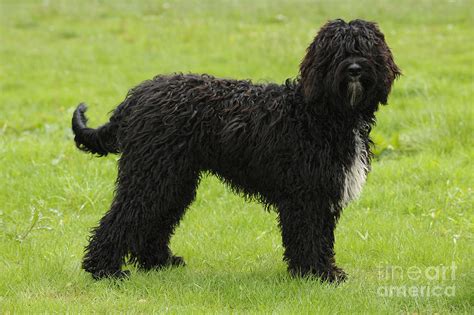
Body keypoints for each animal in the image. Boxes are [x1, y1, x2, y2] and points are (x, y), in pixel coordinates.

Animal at [71, 19, 400, 282]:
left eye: (365, 48)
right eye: (337, 51)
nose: (355, 68)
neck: (319, 113)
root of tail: (137, 95)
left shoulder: (321, 194)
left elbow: (320, 236)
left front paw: (319, 271)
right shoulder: (306, 196)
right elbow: (309, 236)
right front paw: (317, 274)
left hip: (173, 178)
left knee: (154, 219)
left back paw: (158, 261)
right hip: (151, 174)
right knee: (122, 217)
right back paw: (104, 269)